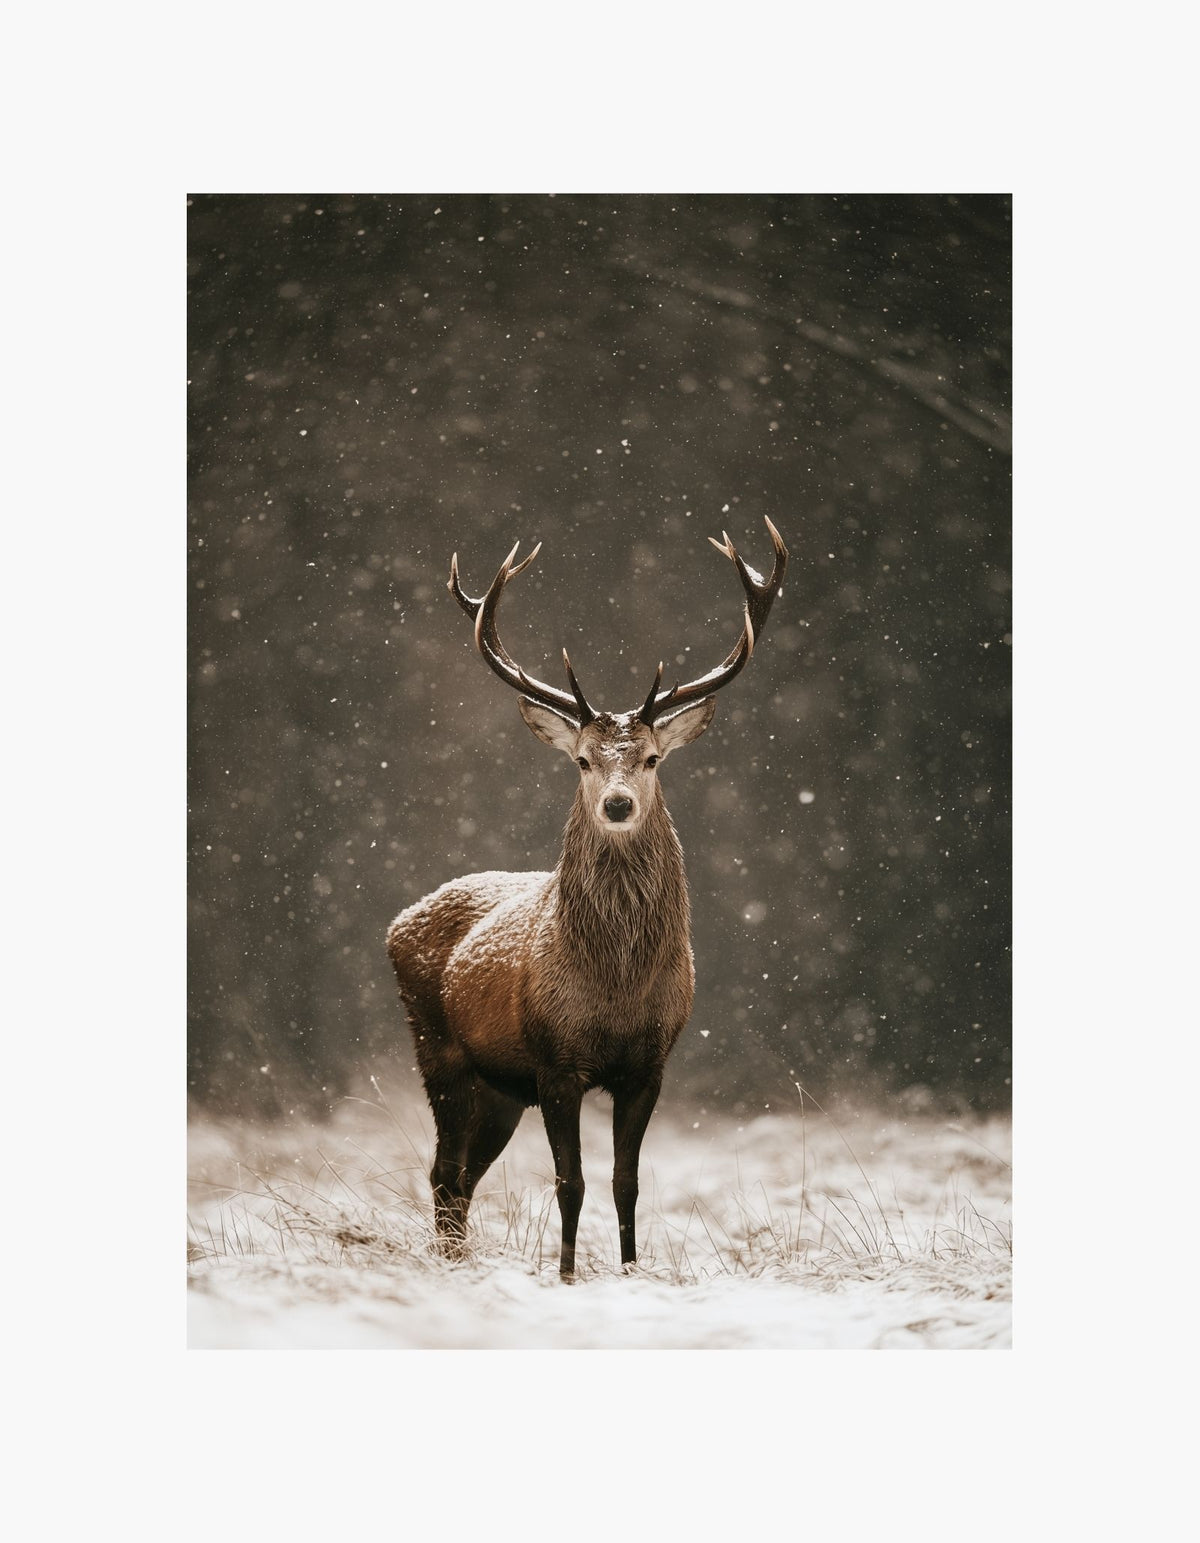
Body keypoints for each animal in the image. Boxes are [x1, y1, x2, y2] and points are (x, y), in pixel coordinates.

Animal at [386, 517, 787, 1279]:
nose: (619, 802)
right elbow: (569, 1180)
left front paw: (630, 1269)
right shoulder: (554, 1060)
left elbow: (625, 1180)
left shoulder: (649, 1064)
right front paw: (567, 1272)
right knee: (443, 1171)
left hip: (498, 1089)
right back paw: (451, 1261)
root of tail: (397, 922)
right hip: (439, 1049)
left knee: (463, 1176)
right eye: (580, 760)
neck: (616, 987)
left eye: (653, 757)